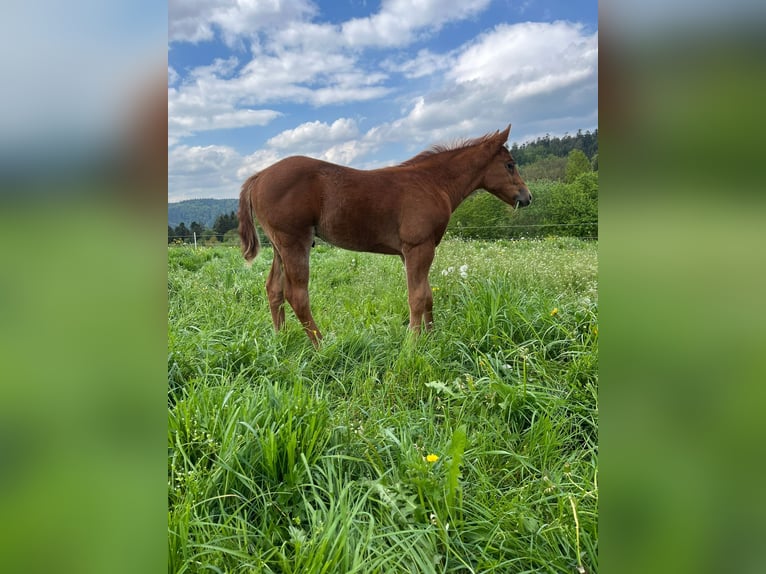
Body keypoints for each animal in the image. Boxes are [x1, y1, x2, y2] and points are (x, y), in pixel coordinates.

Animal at [238, 124, 531, 347]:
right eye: (510, 165)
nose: (527, 197)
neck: (432, 183)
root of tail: (259, 176)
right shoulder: (418, 247)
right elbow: (417, 297)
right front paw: (412, 345)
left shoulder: (413, 251)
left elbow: (427, 294)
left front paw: (431, 338)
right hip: (294, 242)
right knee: (297, 294)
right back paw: (321, 345)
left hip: (279, 246)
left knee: (274, 289)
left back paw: (281, 340)